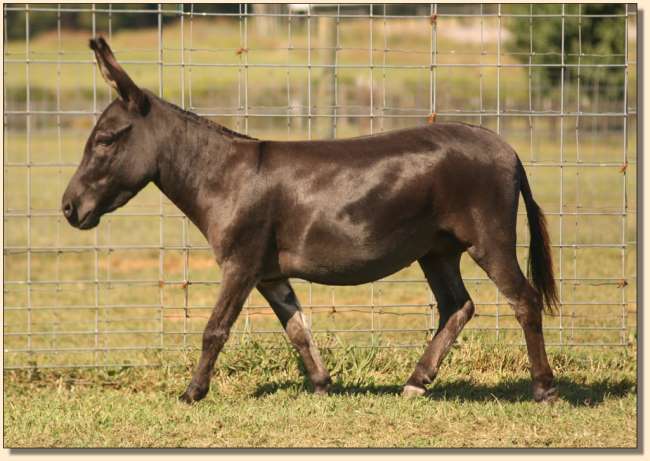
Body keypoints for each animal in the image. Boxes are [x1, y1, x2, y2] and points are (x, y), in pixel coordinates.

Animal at [62, 38, 559, 404]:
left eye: (105, 140)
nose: (68, 208)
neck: (221, 176)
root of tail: (506, 148)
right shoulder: (269, 273)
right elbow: (298, 329)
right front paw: (322, 385)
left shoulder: (240, 265)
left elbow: (215, 330)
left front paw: (192, 393)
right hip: (436, 249)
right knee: (458, 306)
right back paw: (417, 382)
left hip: (488, 238)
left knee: (524, 300)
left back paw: (544, 388)